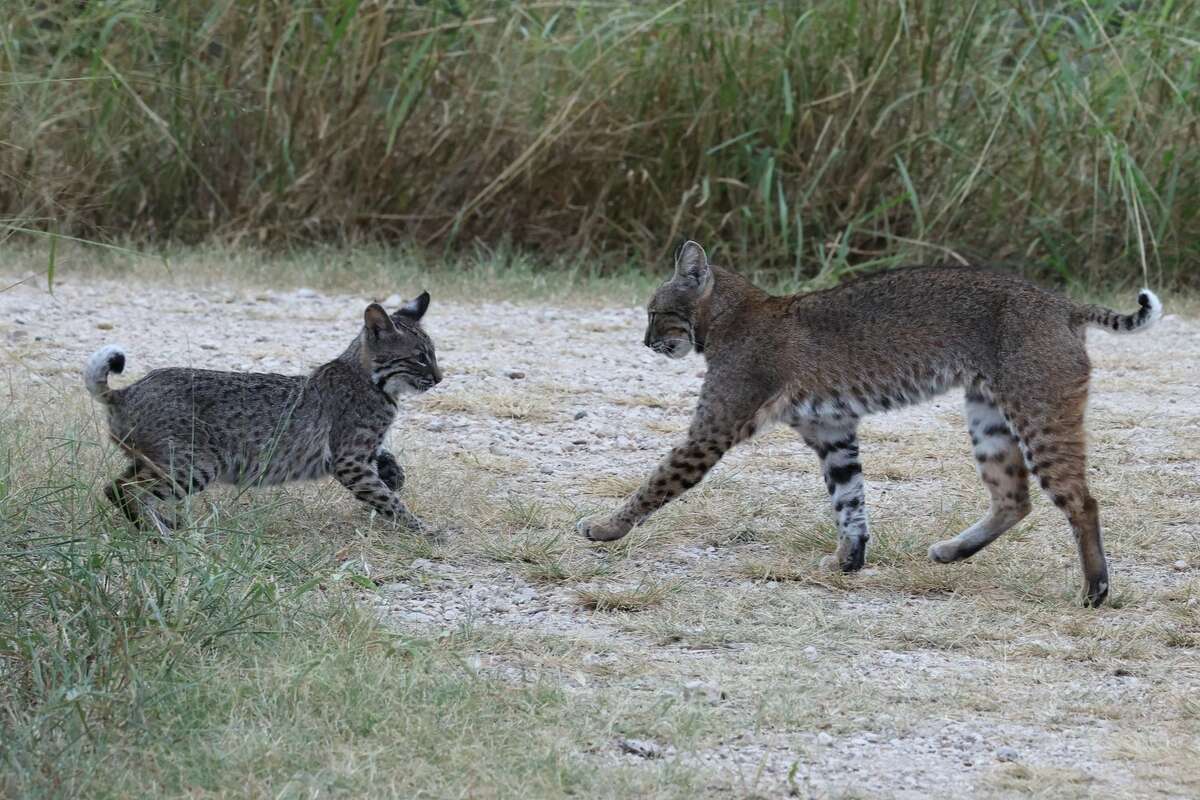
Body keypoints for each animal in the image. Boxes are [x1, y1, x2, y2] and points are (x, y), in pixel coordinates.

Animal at [85, 293, 441, 532]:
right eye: (420, 358)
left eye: (433, 354)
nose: (439, 378)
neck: (373, 379)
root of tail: (126, 390)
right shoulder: (349, 460)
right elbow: (387, 499)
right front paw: (422, 529)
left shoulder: (360, 453)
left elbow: (388, 465)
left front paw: (395, 477)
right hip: (195, 464)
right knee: (124, 489)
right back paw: (158, 534)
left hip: (156, 459)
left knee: (117, 486)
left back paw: (162, 525)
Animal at [580, 239, 1161, 606]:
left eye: (655, 313)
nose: (646, 342)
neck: (726, 315)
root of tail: (1063, 301)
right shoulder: (832, 429)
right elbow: (849, 497)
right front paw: (849, 559)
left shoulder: (714, 427)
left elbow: (657, 482)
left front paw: (606, 528)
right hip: (988, 415)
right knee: (1014, 499)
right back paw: (952, 551)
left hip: (1037, 411)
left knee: (1082, 500)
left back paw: (1095, 592)